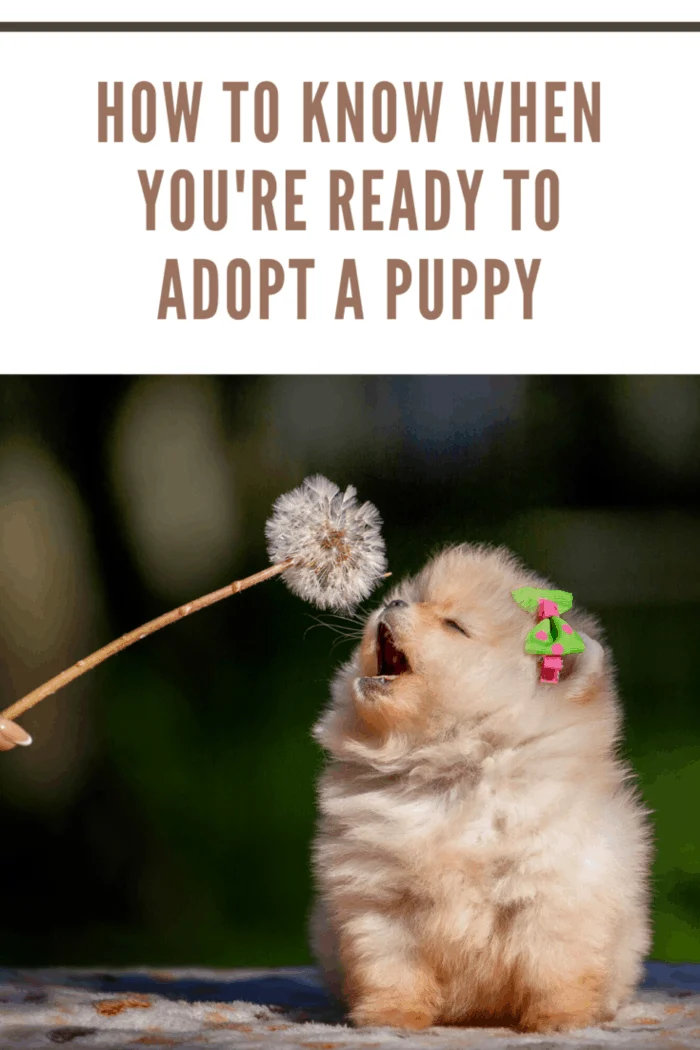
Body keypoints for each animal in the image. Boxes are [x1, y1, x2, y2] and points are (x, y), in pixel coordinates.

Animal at [312, 546, 650, 1029]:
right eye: (415, 597)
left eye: (454, 625)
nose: (393, 603)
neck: (450, 772)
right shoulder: (380, 897)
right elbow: (390, 967)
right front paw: (391, 1015)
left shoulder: (552, 890)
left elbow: (555, 967)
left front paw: (560, 1018)